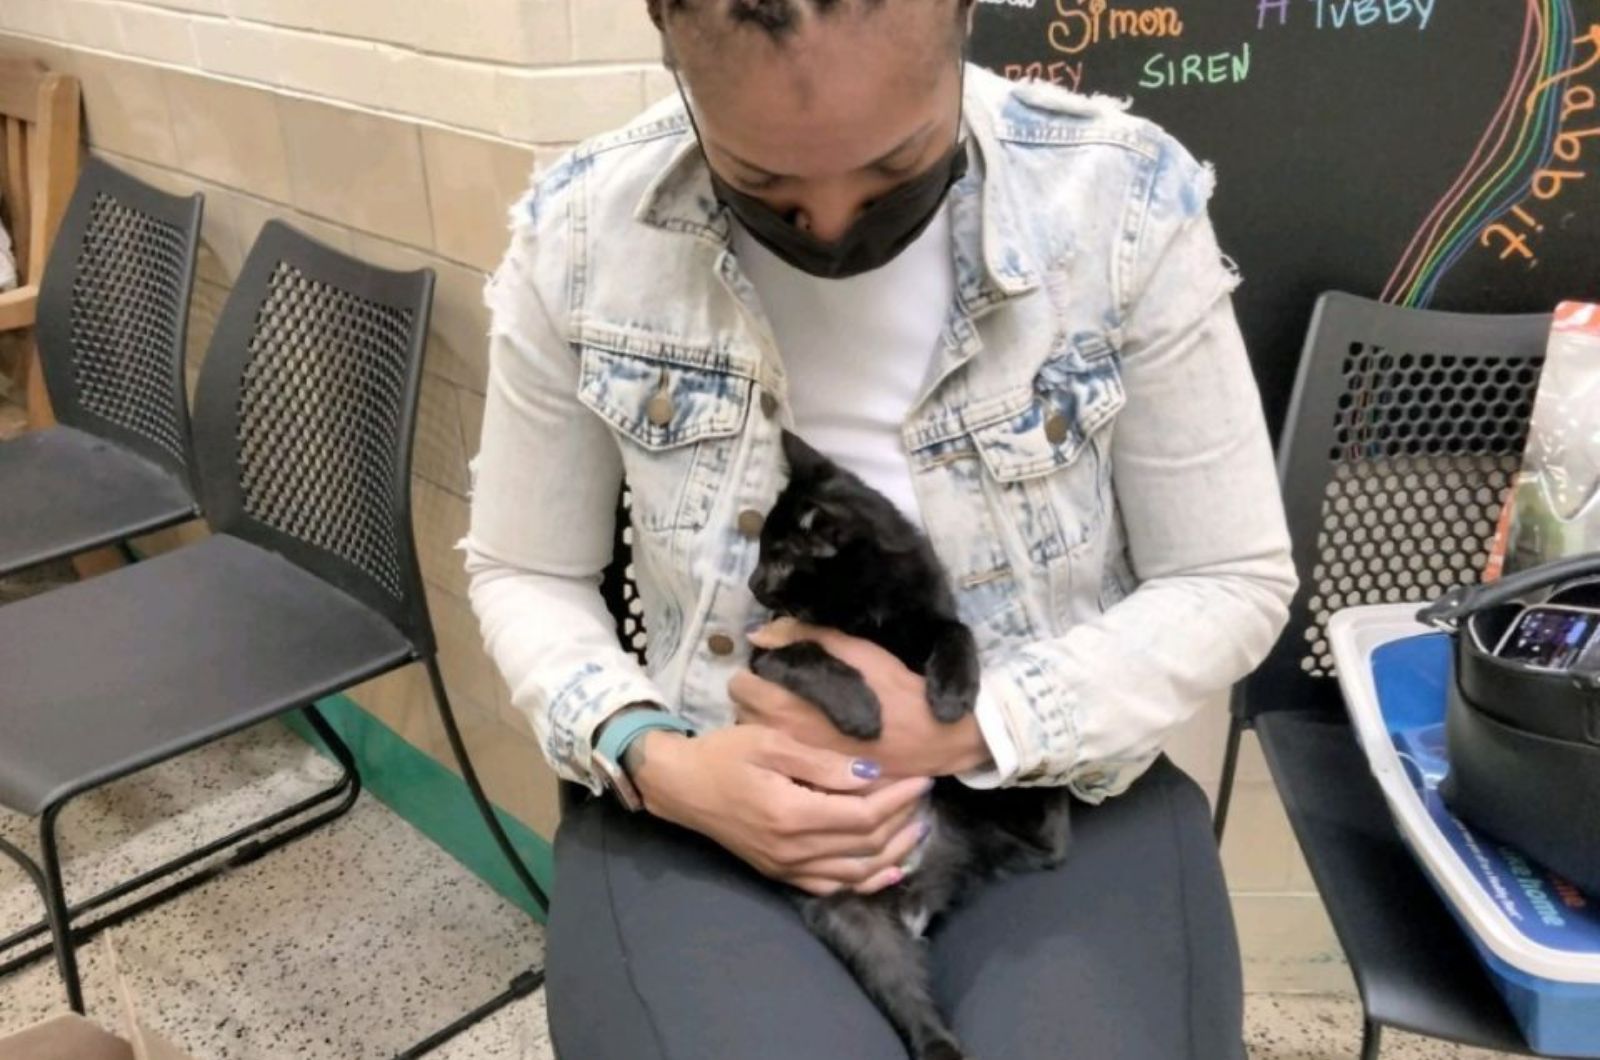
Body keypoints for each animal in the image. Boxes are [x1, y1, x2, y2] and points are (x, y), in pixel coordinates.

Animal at [748, 432, 1075, 1060]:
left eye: (778, 556)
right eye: (760, 553)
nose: (753, 585)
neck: (869, 609)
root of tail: (915, 896)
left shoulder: (928, 611)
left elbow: (956, 630)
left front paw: (951, 695)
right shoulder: (764, 654)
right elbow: (807, 651)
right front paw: (861, 709)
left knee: (1052, 843)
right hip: (857, 925)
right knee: (908, 1000)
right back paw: (940, 1045)